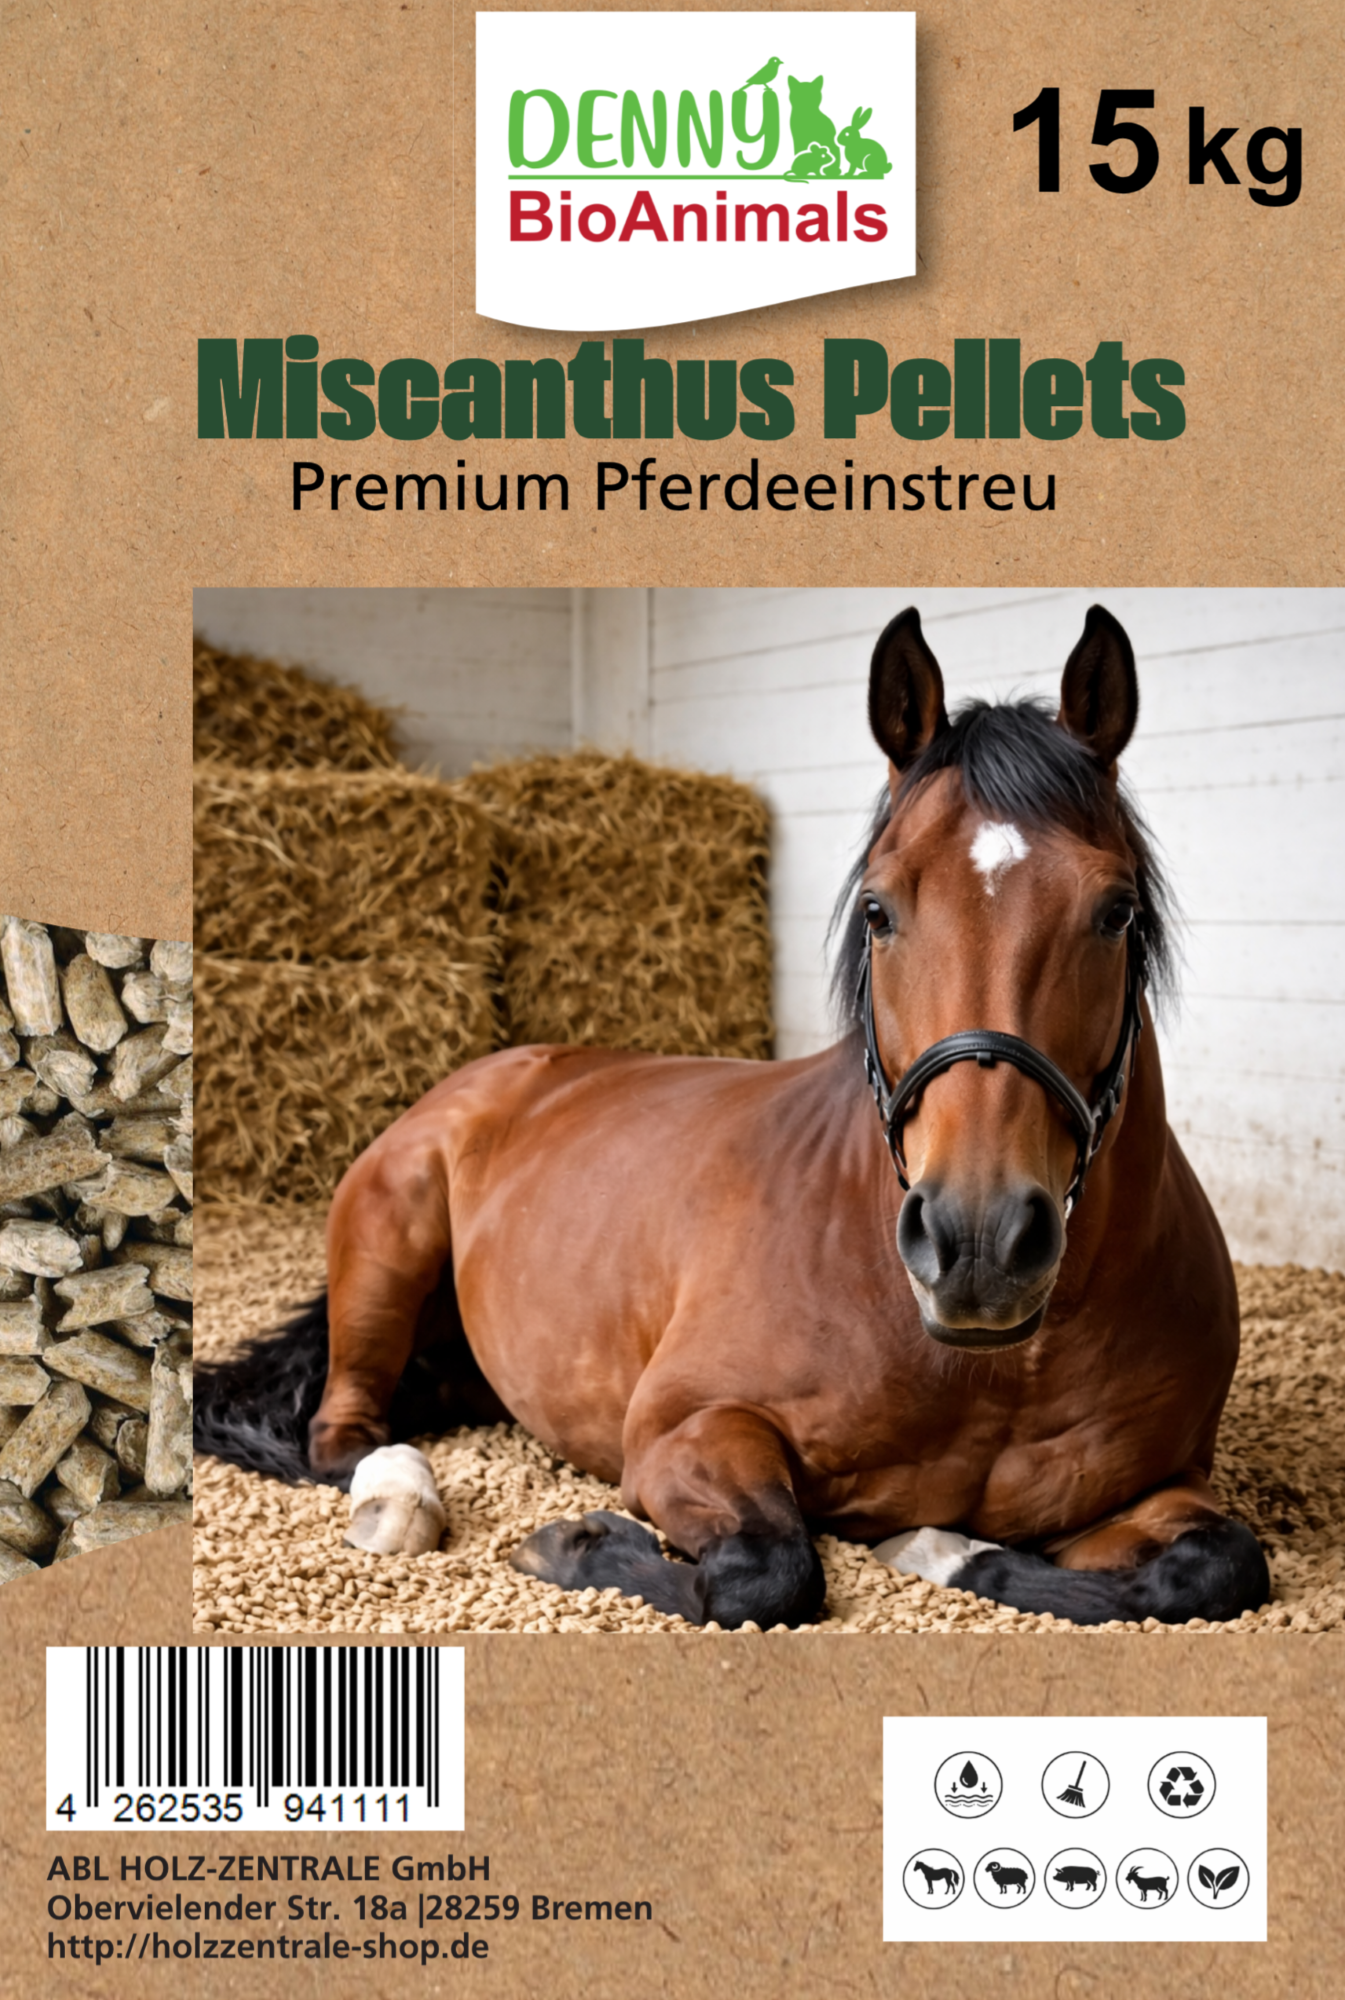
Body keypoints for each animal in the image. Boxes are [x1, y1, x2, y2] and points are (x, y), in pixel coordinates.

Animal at [194, 604, 1271, 1632]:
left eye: (1116, 910)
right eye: (877, 910)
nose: (977, 1241)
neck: (983, 1367)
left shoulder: (1150, 1488)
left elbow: (1219, 1564)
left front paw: (943, 1549)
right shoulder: (686, 1430)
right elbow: (767, 1570)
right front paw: (572, 1542)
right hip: (390, 1242)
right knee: (342, 1435)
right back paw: (397, 1496)